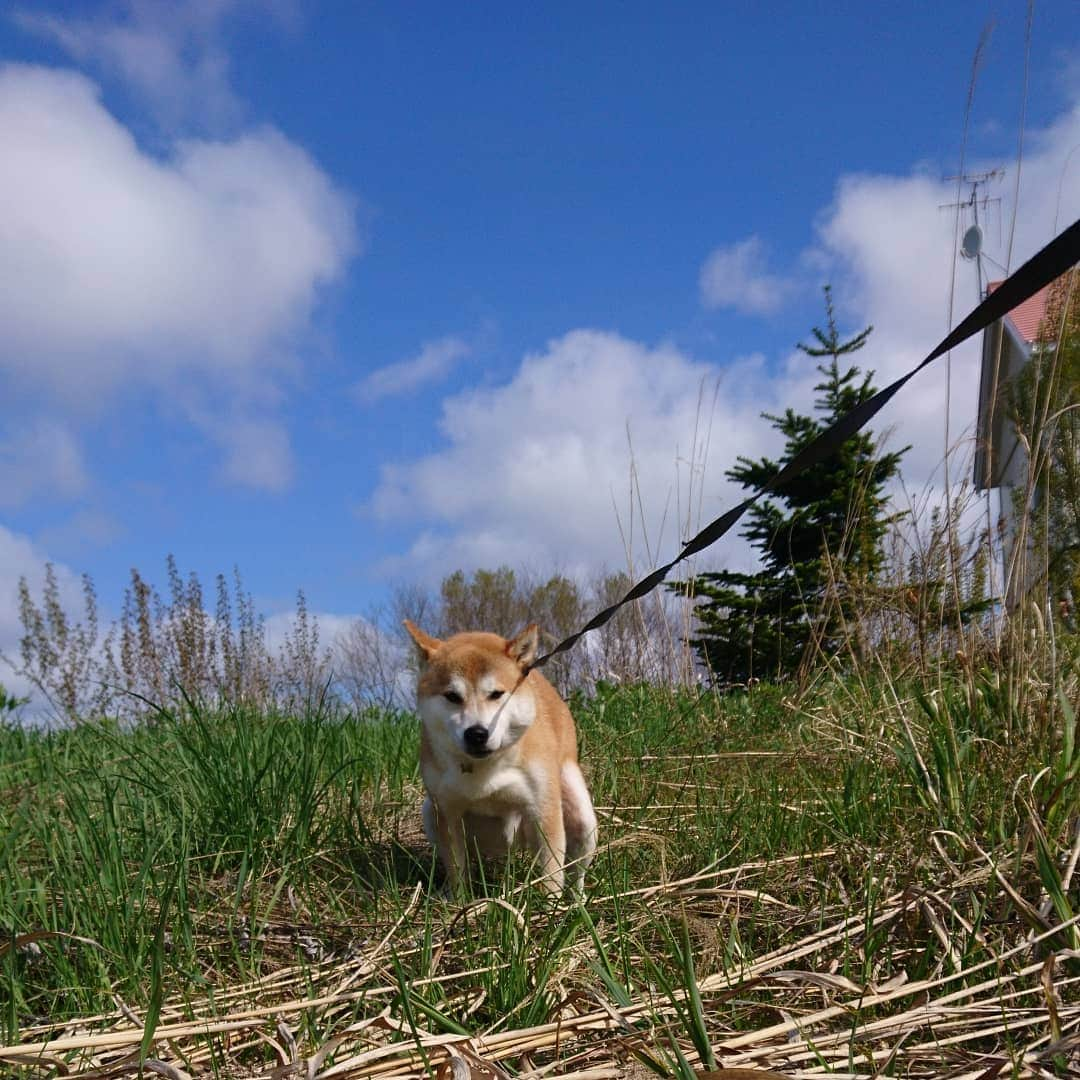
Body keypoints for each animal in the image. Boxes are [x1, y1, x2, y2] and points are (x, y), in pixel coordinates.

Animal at [403, 622, 596, 898]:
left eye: (496, 694)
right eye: (452, 696)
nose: (476, 733)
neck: (487, 768)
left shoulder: (544, 810)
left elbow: (551, 875)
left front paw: (549, 907)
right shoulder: (447, 812)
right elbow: (456, 869)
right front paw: (459, 902)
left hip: (582, 818)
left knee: (576, 873)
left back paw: (577, 900)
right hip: (430, 812)